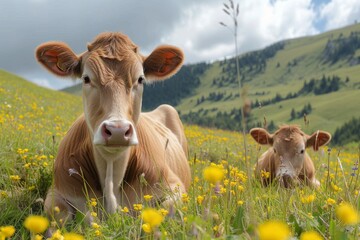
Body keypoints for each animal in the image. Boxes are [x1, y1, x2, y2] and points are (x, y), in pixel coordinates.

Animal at [35, 31, 191, 223]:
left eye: (140, 79)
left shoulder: (174, 186)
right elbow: (61, 214)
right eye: (86, 78)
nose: (118, 130)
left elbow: (164, 210)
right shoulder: (57, 190)